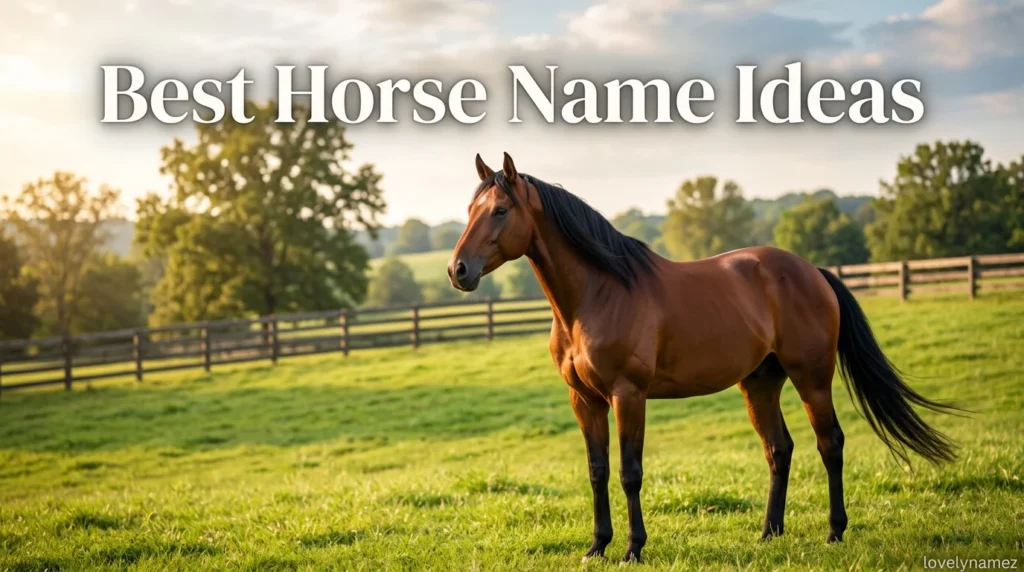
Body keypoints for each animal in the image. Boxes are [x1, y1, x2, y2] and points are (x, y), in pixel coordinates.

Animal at [447, 153, 958, 563]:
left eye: (500, 210)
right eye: (470, 210)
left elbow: (630, 473)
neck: (598, 293)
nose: (458, 270)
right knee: (779, 449)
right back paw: (768, 534)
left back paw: (834, 532)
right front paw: (596, 546)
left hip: (811, 377)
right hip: (760, 383)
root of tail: (812, 271)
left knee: (829, 443)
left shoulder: (628, 396)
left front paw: (633, 548)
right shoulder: (585, 400)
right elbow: (597, 472)